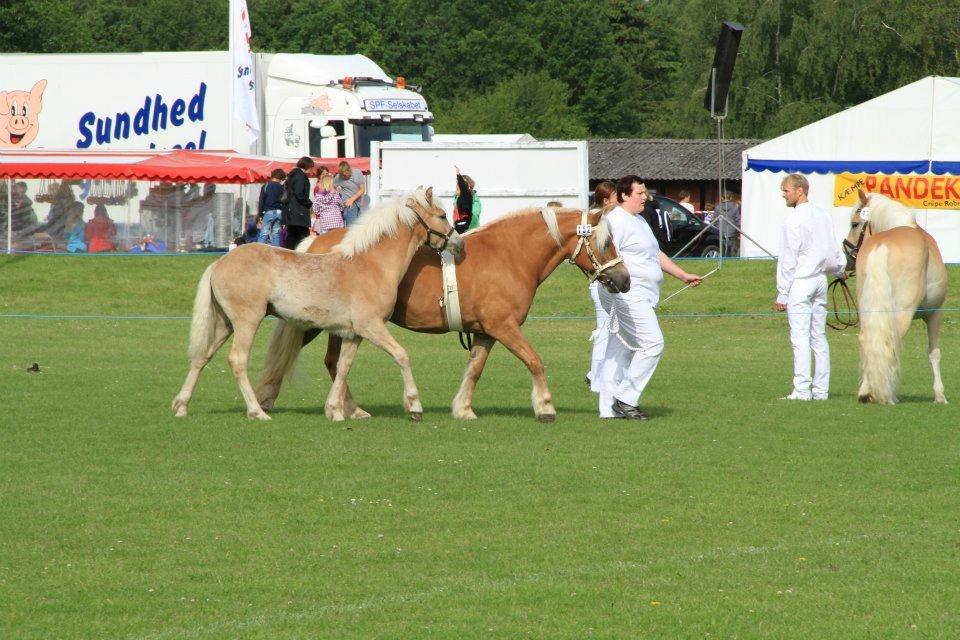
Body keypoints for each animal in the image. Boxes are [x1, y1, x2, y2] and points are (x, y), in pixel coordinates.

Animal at [172, 186, 464, 420]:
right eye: (441, 215)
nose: (459, 245)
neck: (371, 265)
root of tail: (220, 262)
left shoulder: (353, 334)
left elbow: (343, 367)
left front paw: (335, 410)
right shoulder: (371, 327)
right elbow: (402, 356)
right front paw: (414, 406)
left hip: (224, 324)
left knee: (202, 357)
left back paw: (182, 406)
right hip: (247, 322)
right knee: (238, 360)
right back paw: (256, 412)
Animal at [253, 208, 632, 422]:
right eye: (605, 243)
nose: (624, 279)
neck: (510, 256)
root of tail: (315, 243)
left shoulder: (485, 332)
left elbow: (475, 369)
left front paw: (463, 408)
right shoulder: (504, 327)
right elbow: (534, 361)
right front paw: (545, 406)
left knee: (333, 362)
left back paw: (348, 408)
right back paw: (268, 400)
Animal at [844, 188, 948, 402]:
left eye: (854, 224)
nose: (847, 256)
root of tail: (883, 245)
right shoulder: (935, 314)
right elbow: (934, 352)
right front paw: (940, 395)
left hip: (867, 312)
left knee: (866, 340)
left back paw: (866, 392)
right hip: (902, 314)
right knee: (890, 342)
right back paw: (886, 395)